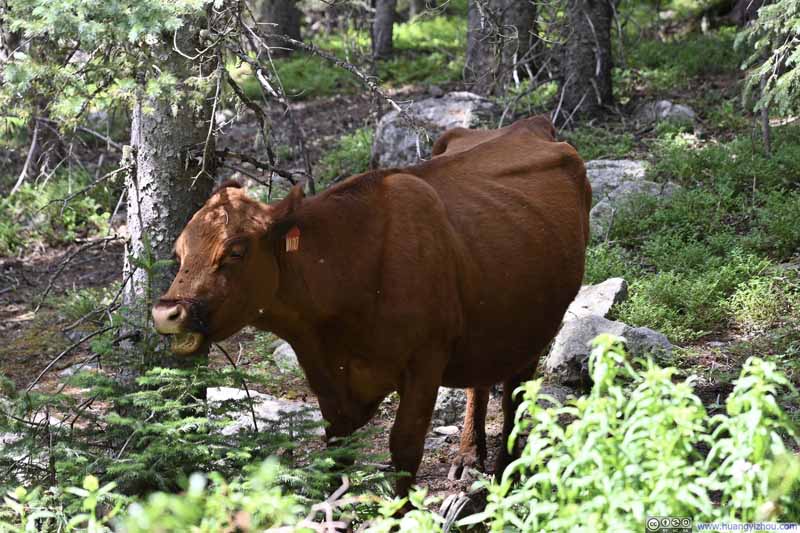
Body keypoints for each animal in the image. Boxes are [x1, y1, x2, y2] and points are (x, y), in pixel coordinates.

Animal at [152, 114, 591, 496]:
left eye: (236, 251)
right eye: (179, 251)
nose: (167, 312)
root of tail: (529, 125)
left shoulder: (425, 363)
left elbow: (404, 449)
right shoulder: (326, 376)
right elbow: (337, 448)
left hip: (535, 328)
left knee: (515, 396)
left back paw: (505, 474)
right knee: (480, 384)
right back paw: (468, 456)